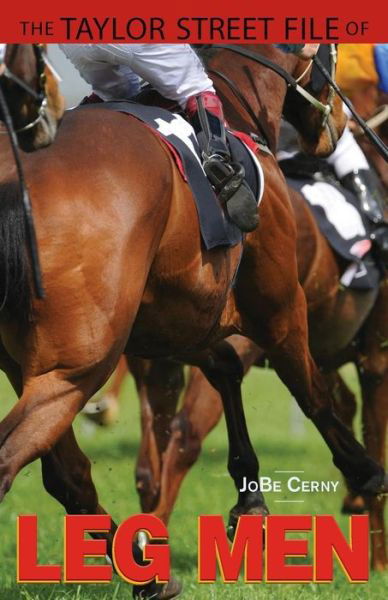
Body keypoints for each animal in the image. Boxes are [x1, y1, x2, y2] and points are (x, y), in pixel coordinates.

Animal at [0, 42, 384, 596]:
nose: (333, 127)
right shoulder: (279, 306)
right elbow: (311, 391)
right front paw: (364, 472)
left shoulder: (174, 319)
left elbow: (224, 372)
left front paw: (250, 501)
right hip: (75, 368)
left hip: (32, 363)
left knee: (68, 473)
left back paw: (145, 569)